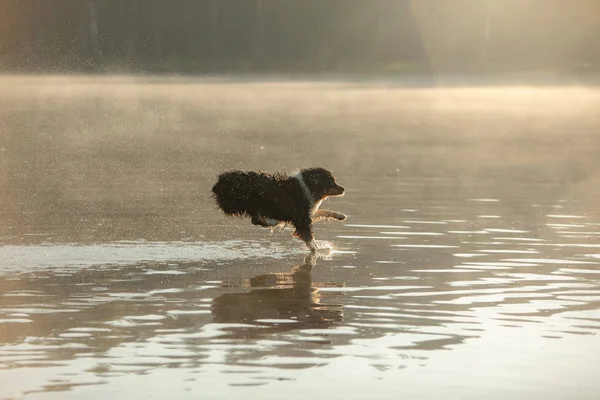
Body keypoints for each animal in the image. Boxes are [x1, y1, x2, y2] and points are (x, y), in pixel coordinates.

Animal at [213, 166, 350, 250]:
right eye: (332, 182)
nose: (344, 189)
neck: (308, 186)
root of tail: (219, 184)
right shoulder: (301, 218)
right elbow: (309, 239)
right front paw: (318, 249)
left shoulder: (306, 211)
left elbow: (324, 211)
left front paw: (341, 216)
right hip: (254, 201)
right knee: (256, 219)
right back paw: (274, 222)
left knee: (255, 219)